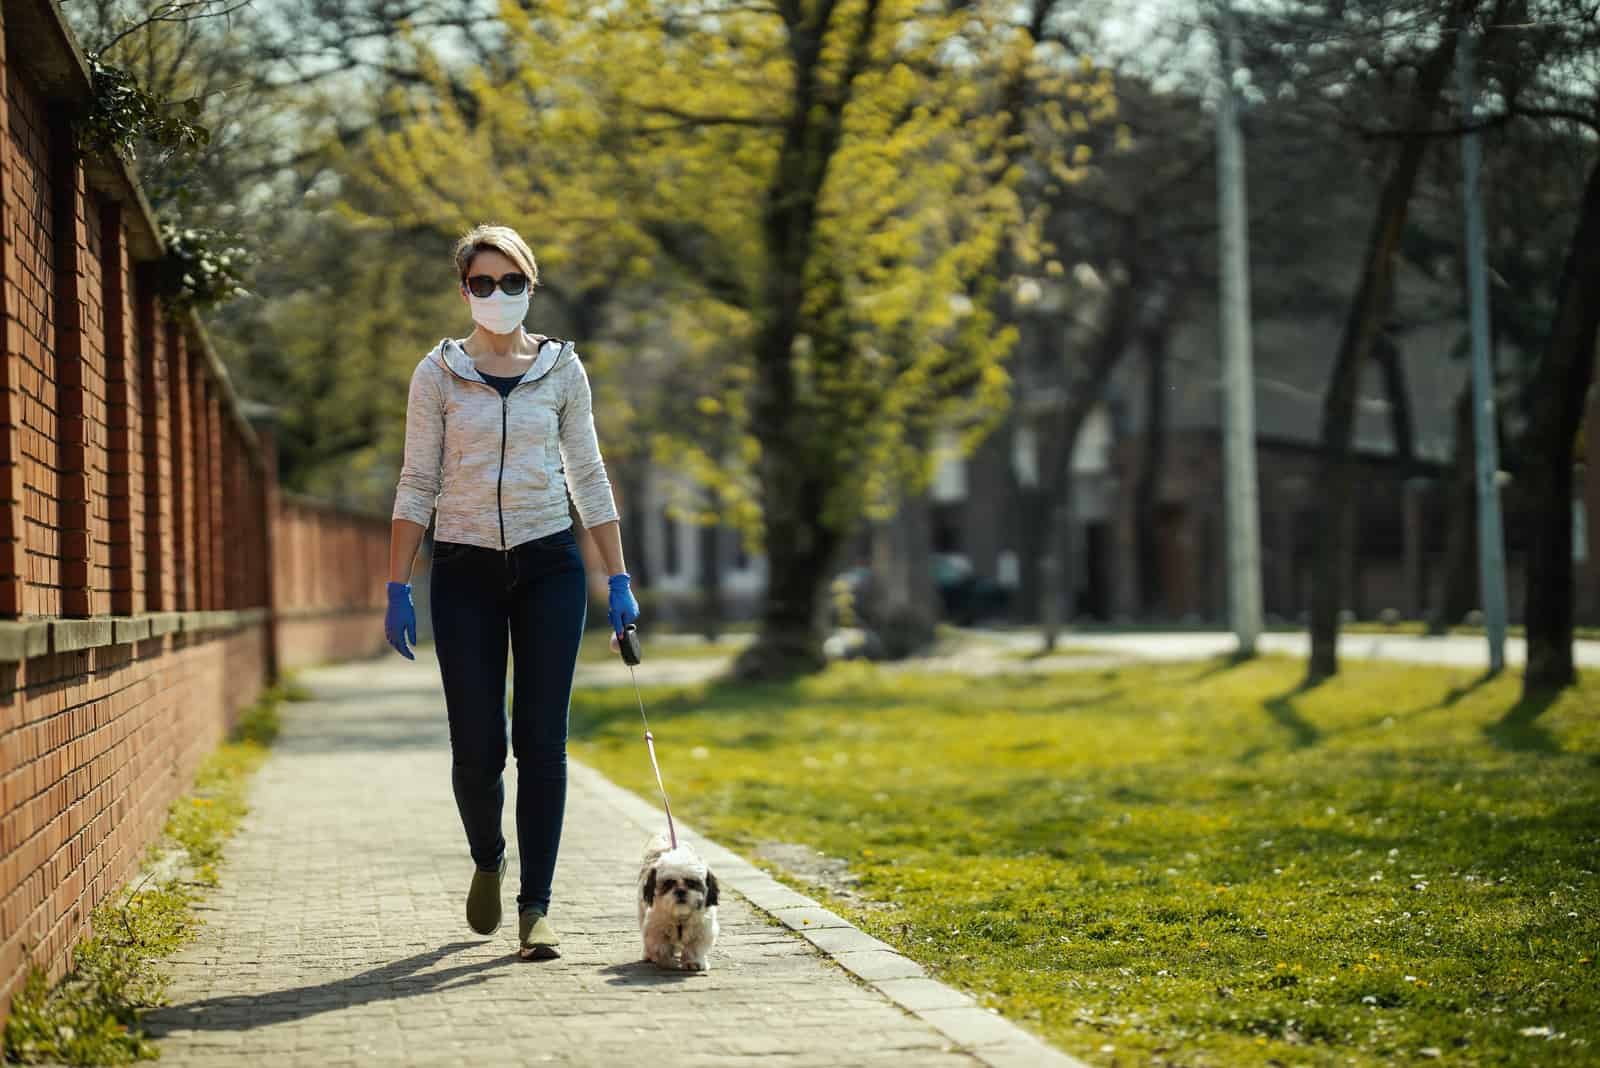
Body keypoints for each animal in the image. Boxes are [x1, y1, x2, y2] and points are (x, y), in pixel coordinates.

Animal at [636, 831, 720, 972]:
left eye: (692, 883)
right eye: (668, 883)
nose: (680, 891)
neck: (680, 916)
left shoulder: (702, 929)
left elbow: (695, 948)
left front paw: (693, 962)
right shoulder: (655, 927)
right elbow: (660, 945)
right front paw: (665, 960)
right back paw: (648, 955)